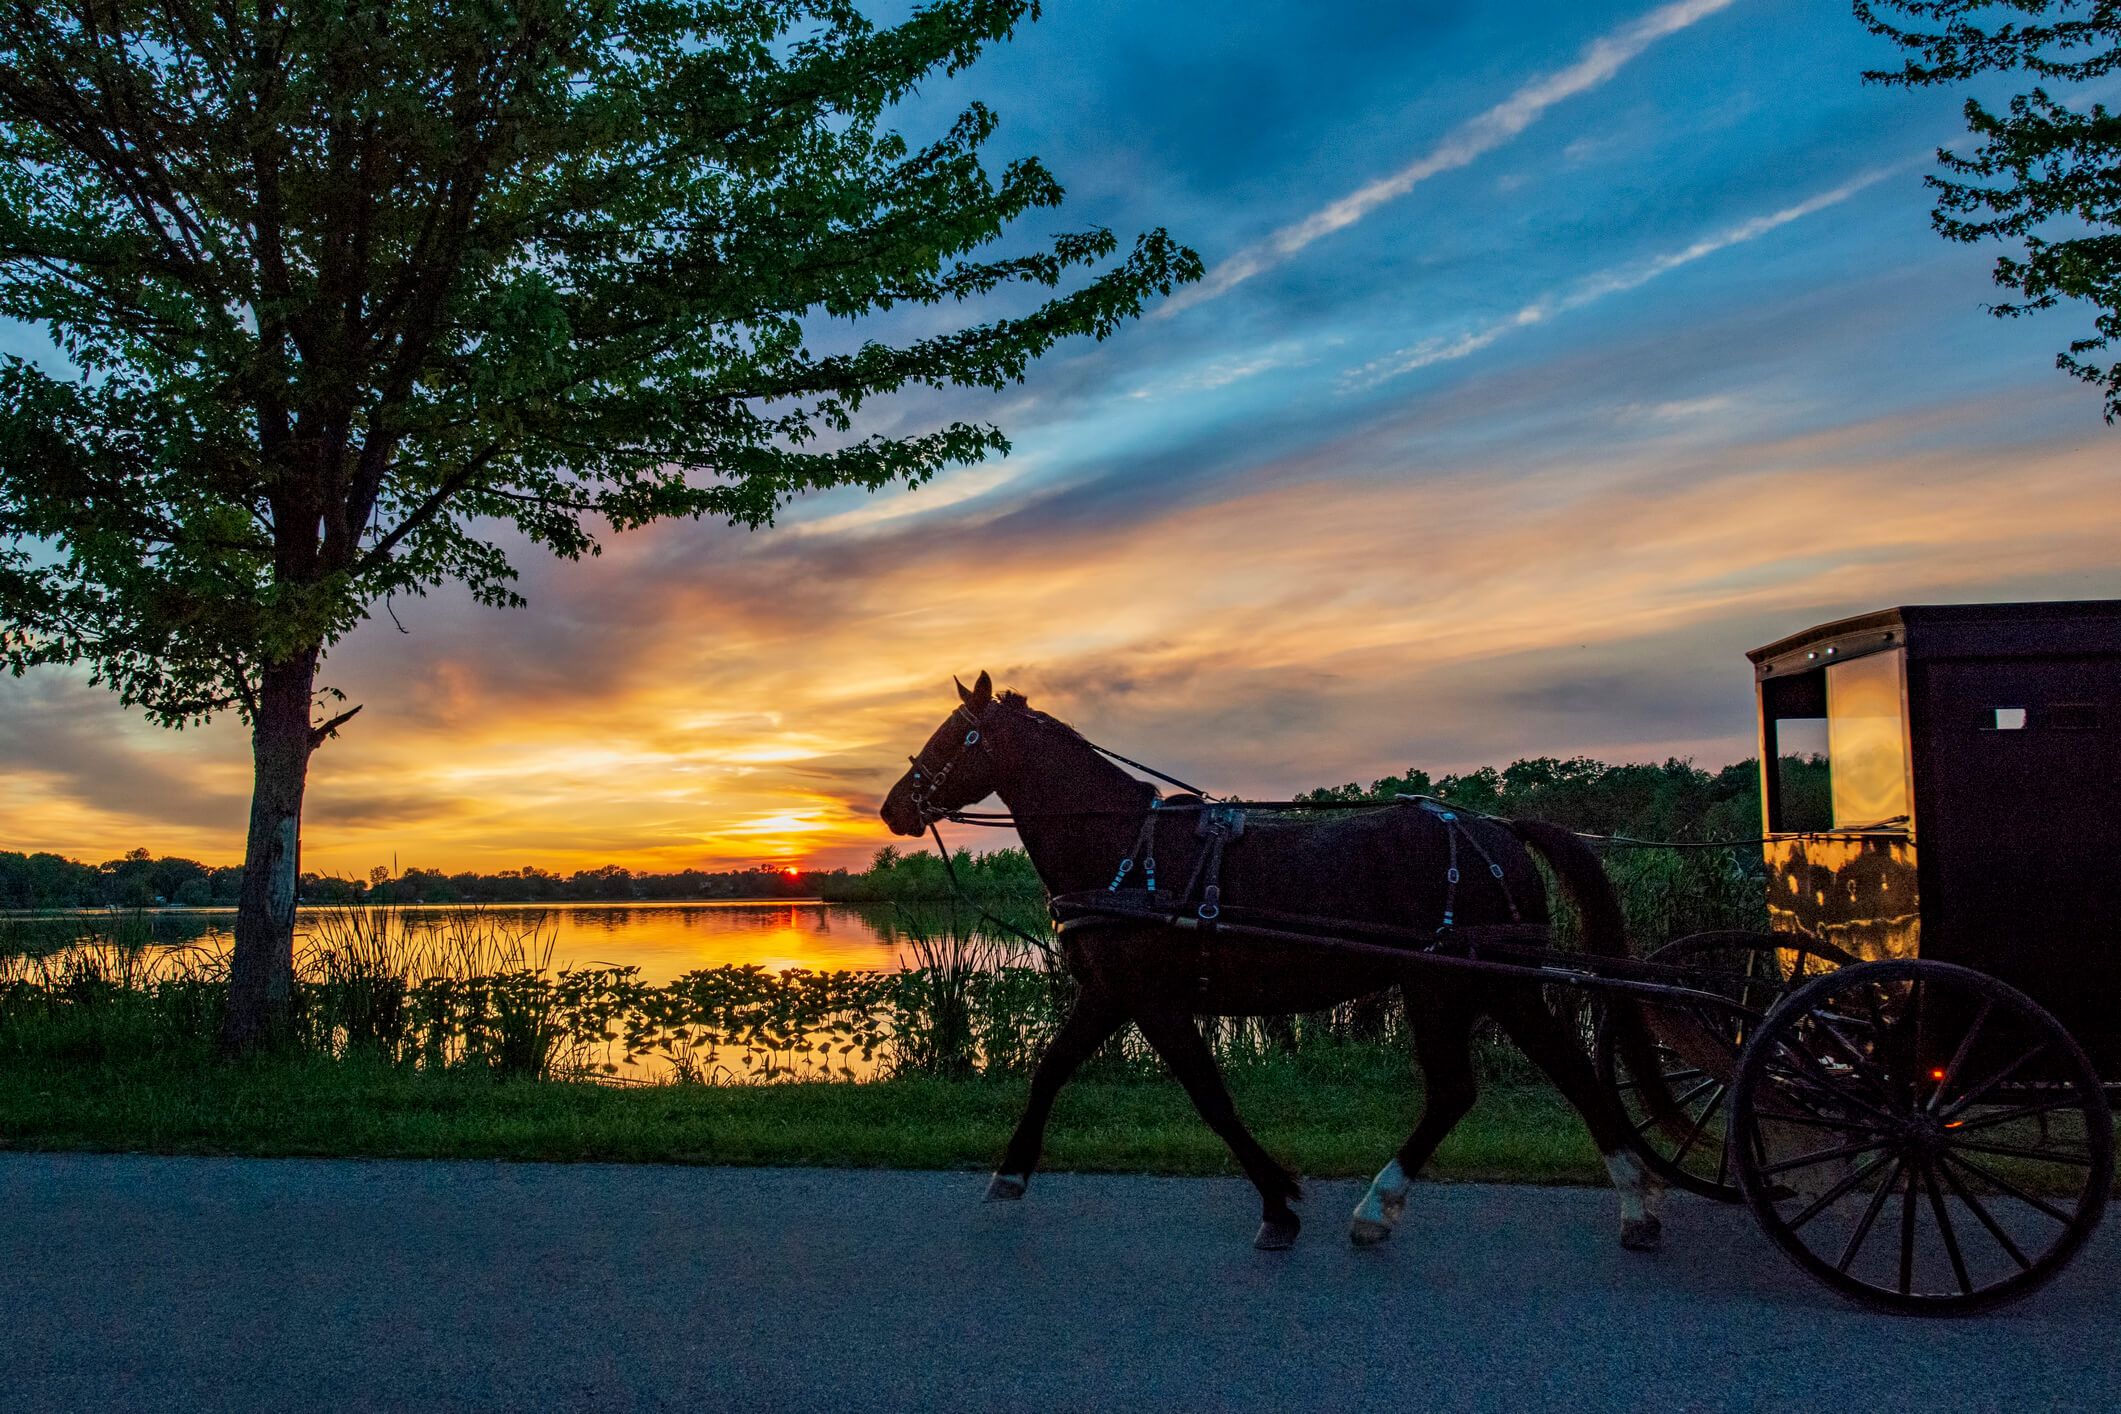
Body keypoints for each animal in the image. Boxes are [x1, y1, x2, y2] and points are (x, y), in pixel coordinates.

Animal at [882, 674, 1671, 1246]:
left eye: (954, 734)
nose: (894, 807)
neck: (1126, 852)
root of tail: (1499, 830)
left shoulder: (1153, 1001)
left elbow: (1211, 1098)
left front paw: (1278, 1205)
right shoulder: (1109, 995)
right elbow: (1049, 1071)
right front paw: (1011, 1173)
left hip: (1448, 985)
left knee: (1492, 1084)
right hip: (1482, 987)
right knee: (1523, 1078)